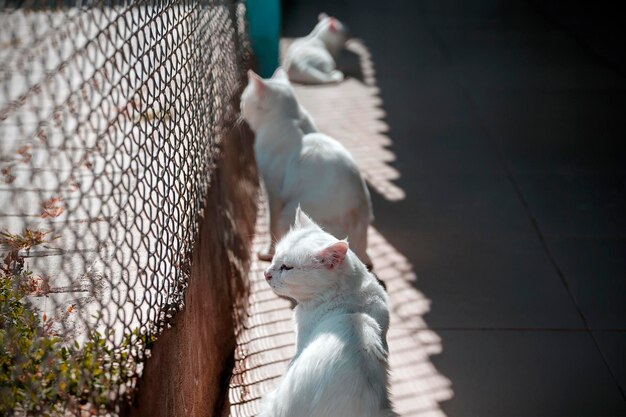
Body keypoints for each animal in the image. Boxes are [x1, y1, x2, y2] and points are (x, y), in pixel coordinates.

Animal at [239, 68, 370, 266]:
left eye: (243, 98)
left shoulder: (273, 190)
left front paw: (267, 252)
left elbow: (271, 224)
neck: (290, 117)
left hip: (288, 212)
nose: (239, 106)